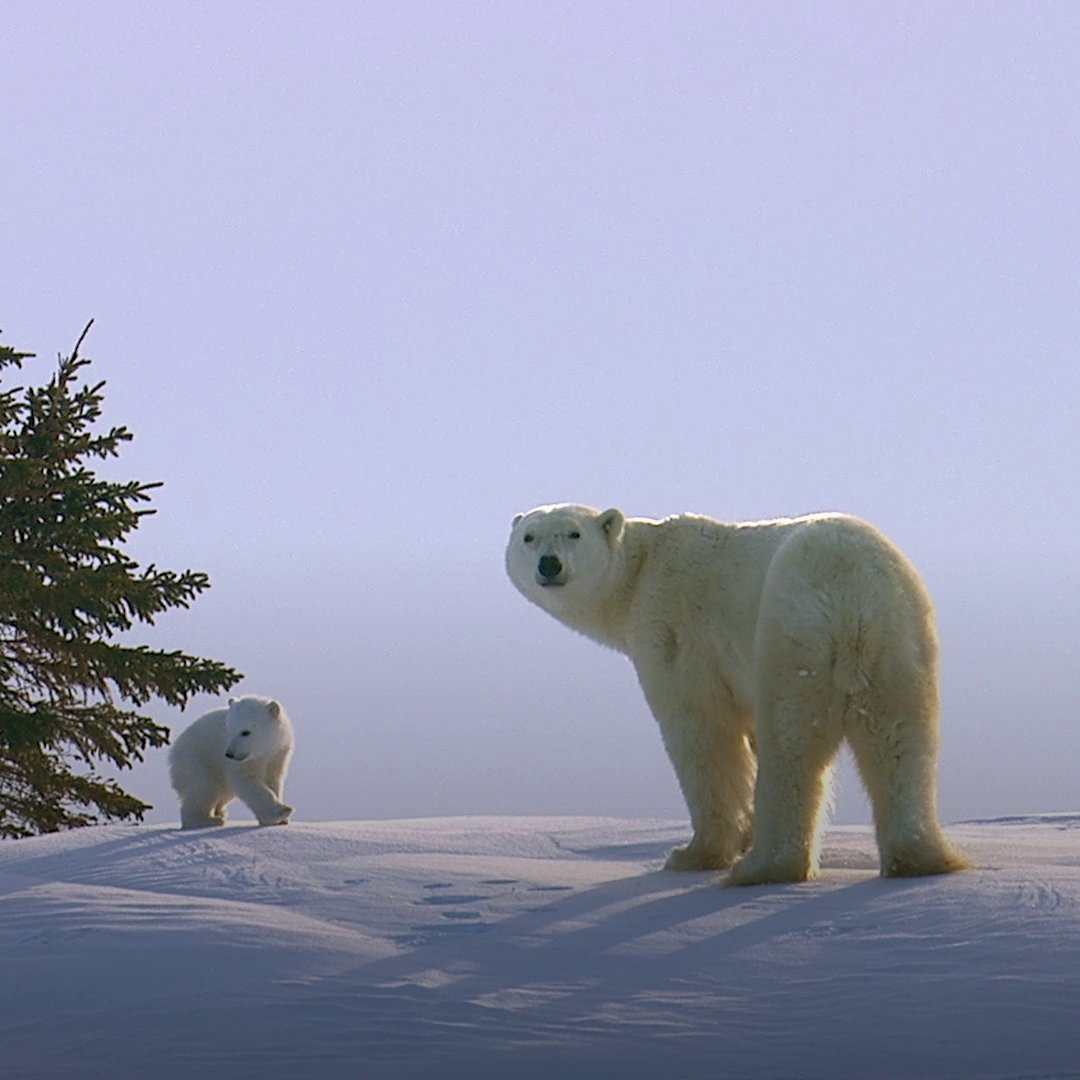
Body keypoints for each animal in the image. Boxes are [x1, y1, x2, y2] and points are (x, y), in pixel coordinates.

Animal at [169, 695, 294, 829]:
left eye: (245, 732)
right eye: (229, 730)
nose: (229, 754)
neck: (262, 753)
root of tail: (173, 753)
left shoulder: (278, 754)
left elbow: (274, 780)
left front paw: (281, 820)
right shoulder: (243, 762)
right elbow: (244, 780)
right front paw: (282, 812)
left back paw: (221, 812)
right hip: (196, 759)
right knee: (203, 788)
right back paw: (209, 820)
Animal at [506, 503, 970, 886]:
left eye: (573, 534)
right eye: (529, 536)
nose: (549, 564)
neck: (640, 571)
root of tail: (850, 596)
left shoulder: (674, 629)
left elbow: (704, 733)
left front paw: (696, 853)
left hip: (791, 630)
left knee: (791, 742)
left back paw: (765, 867)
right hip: (900, 637)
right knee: (902, 741)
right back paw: (919, 858)